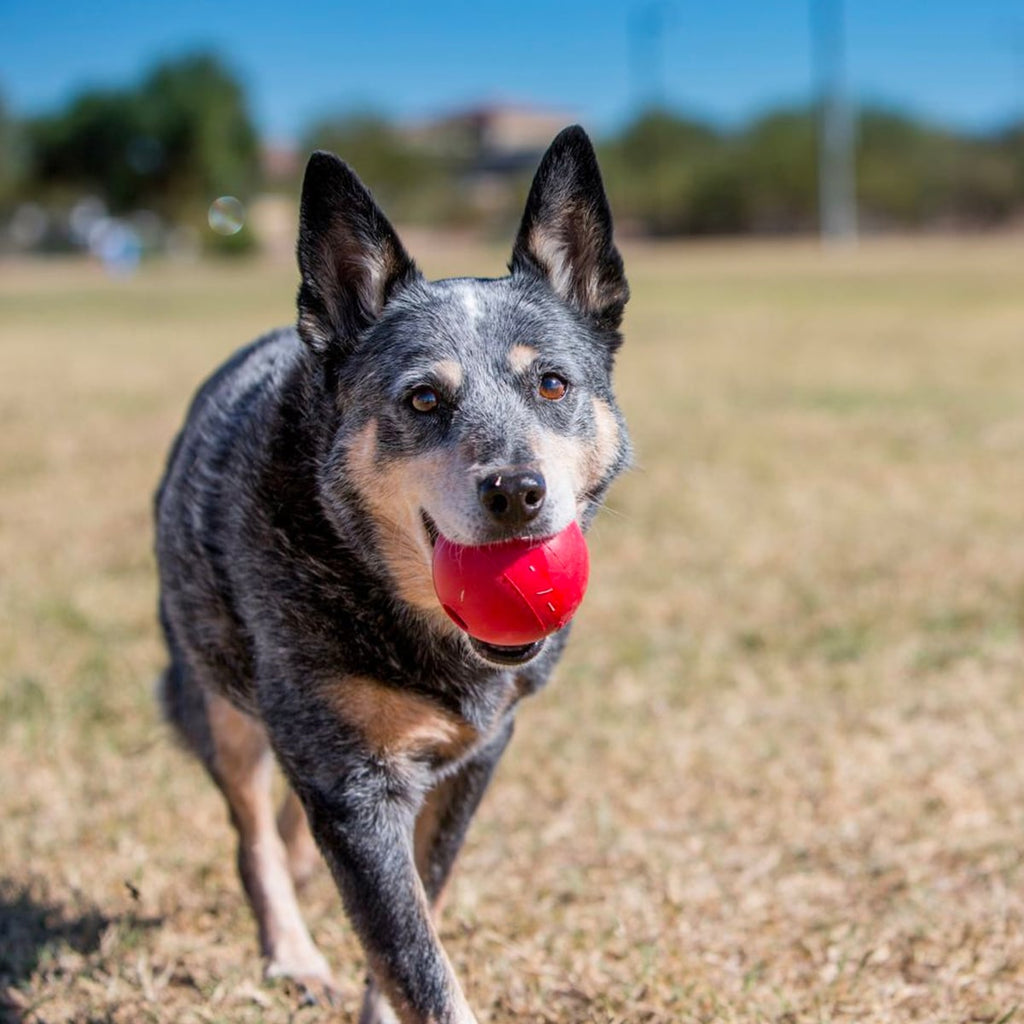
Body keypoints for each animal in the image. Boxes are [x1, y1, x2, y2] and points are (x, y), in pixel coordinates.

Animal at [152, 128, 630, 1024]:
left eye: (552, 383)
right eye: (423, 400)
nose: (516, 490)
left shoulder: (476, 755)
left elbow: (420, 910)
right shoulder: (350, 785)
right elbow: (414, 955)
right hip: (214, 693)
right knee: (251, 833)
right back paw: (294, 954)